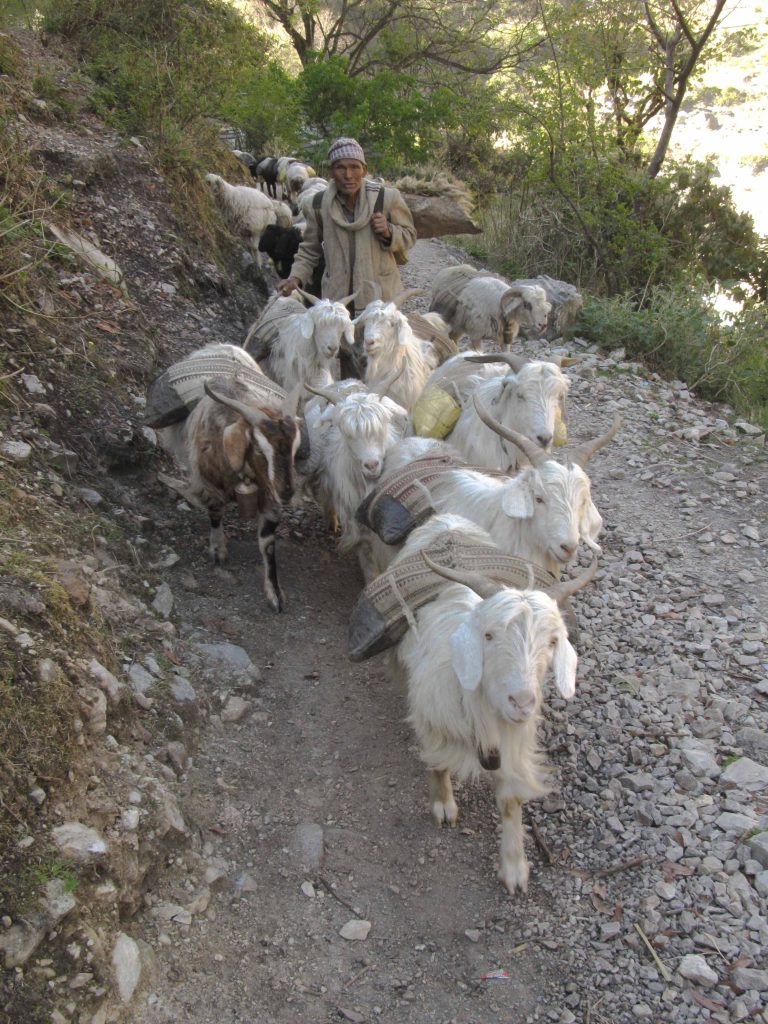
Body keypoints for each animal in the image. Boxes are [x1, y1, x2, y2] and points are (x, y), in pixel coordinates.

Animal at [157, 380, 303, 610]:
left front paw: (275, 592)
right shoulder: (210, 485)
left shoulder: (269, 496)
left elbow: (267, 543)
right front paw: (218, 550)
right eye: (259, 449)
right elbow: (215, 513)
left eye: (295, 448)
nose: (287, 492)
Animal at [391, 516, 593, 892]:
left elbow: (510, 801)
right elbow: (436, 762)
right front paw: (443, 805)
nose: (522, 701)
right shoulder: (429, 714)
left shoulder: (515, 742)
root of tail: (446, 520)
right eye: (488, 635)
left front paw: (514, 868)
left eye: (553, 641)